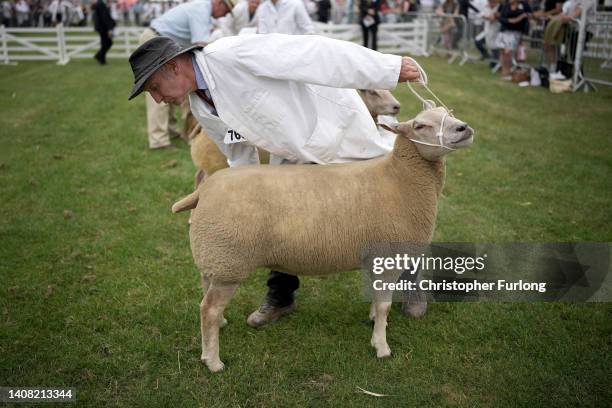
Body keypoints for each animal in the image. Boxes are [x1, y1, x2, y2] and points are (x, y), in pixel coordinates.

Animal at [172, 106, 474, 372]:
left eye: (449, 112)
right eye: (420, 126)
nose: (464, 128)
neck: (399, 177)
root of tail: (204, 190)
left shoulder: (376, 257)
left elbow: (377, 299)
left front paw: (374, 321)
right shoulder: (389, 255)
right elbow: (385, 305)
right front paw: (381, 345)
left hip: (215, 256)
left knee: (206, 293)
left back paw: (221, 325)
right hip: (229, 259)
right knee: (208, 309)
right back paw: (213, 361)